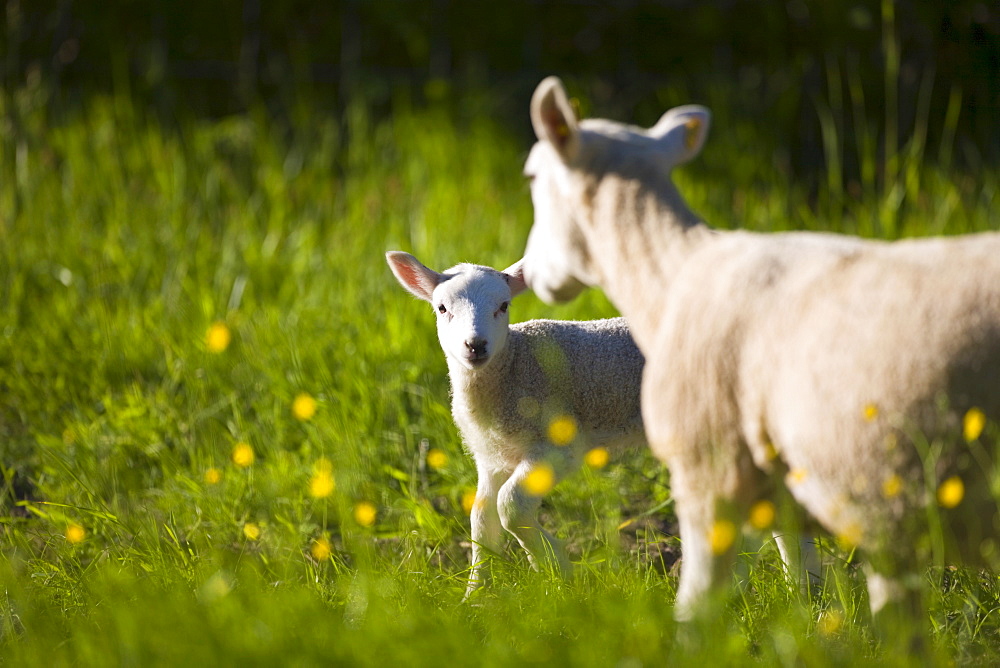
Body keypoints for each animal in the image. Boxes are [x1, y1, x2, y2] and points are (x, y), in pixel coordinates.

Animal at [382, 250, 648, 596]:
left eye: (504, 305)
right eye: (442, 308)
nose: (476, 345)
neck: (512, 365)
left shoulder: (558, 446)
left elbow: (510, 505)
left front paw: (556, 567)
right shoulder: (491, 456)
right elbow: (481, 518)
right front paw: (475, 593)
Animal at [520, 75, 1000, 636]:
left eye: (532, 175)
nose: (528, 271)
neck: (671, 278)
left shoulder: (709, 467)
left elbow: (696, 610)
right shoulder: (850, 502)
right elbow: (818, 581)